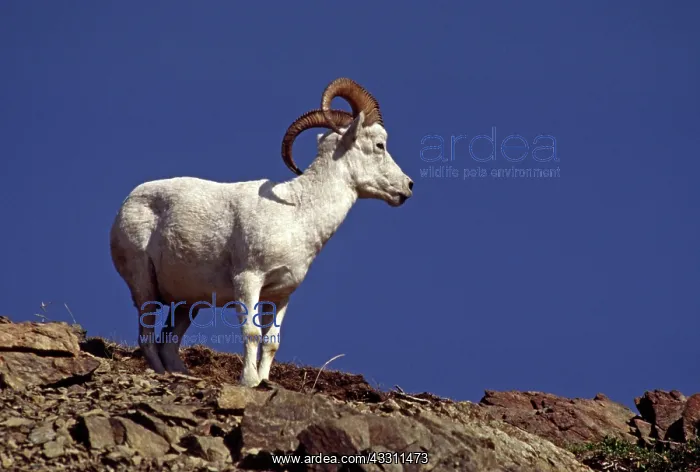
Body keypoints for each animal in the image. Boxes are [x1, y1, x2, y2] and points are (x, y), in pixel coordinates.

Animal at [109, 78, 414, 387]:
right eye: (379, 144)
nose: (408, 186)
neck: (297, 214)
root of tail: (129, 201)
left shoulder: (280, 296)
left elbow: (271, 342)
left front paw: (264, 381)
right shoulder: (248, 280)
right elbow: (251, 334)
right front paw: (250, 381)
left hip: (189, 304)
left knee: (168, 343)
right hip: (145, 286)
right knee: (147, 337)